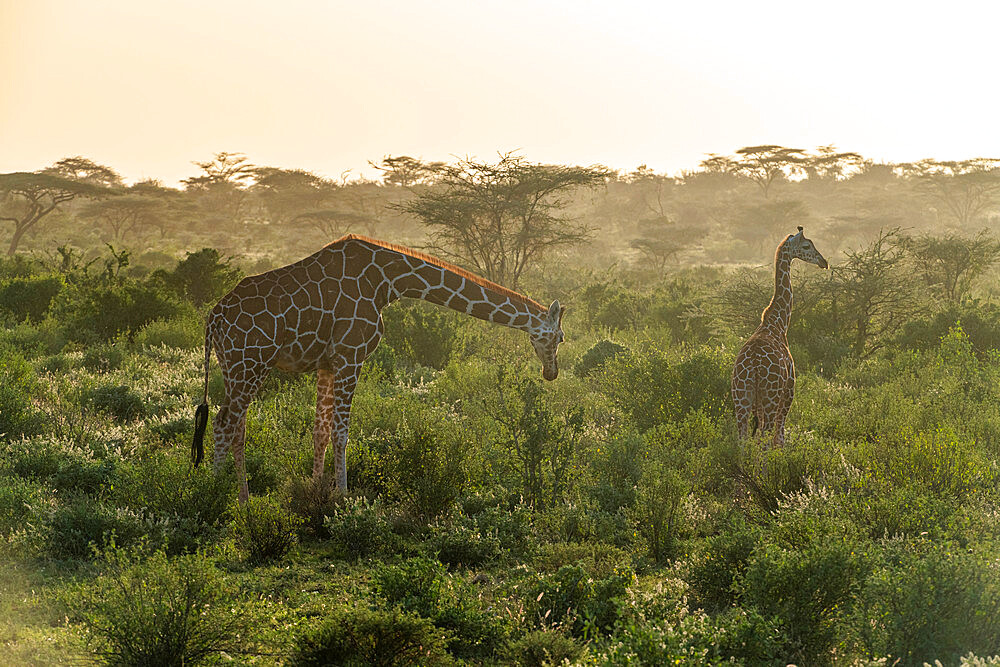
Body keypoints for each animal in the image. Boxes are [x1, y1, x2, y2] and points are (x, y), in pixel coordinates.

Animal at [188, 235, 564, 500]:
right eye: (559, 337)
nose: (552, 373)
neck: (388, 282)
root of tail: (212, 319)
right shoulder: (351, 354)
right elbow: (341, 433)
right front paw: (342, 496)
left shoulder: (328, 363)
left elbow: (320, 432)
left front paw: (315, 490)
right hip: (251, 362)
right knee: (224, 424)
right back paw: (214, 496)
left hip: (234, 365)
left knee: (236, 427)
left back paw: (243, 498)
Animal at [728, 227, 828, 452]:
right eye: (806, 246)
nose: (823, 261)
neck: (778, 323)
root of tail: (754, 366)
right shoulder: (789, 390)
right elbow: (779, 439)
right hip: (771, 398)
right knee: (766, 439)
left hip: (740, 397)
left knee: (742, 440)